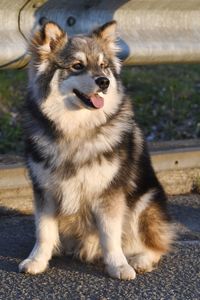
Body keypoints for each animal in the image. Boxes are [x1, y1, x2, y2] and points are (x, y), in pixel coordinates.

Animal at [19, 20, 175, 278]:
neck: (76, 129)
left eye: (103, 66)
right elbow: (44, 231)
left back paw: (141, 259)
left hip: (144, 203)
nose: (104, 82)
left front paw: (118, 266)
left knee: (156, 244)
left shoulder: (109, 194)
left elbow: (110, 235)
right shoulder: (45, 191)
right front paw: (37, 260)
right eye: (77, 66)